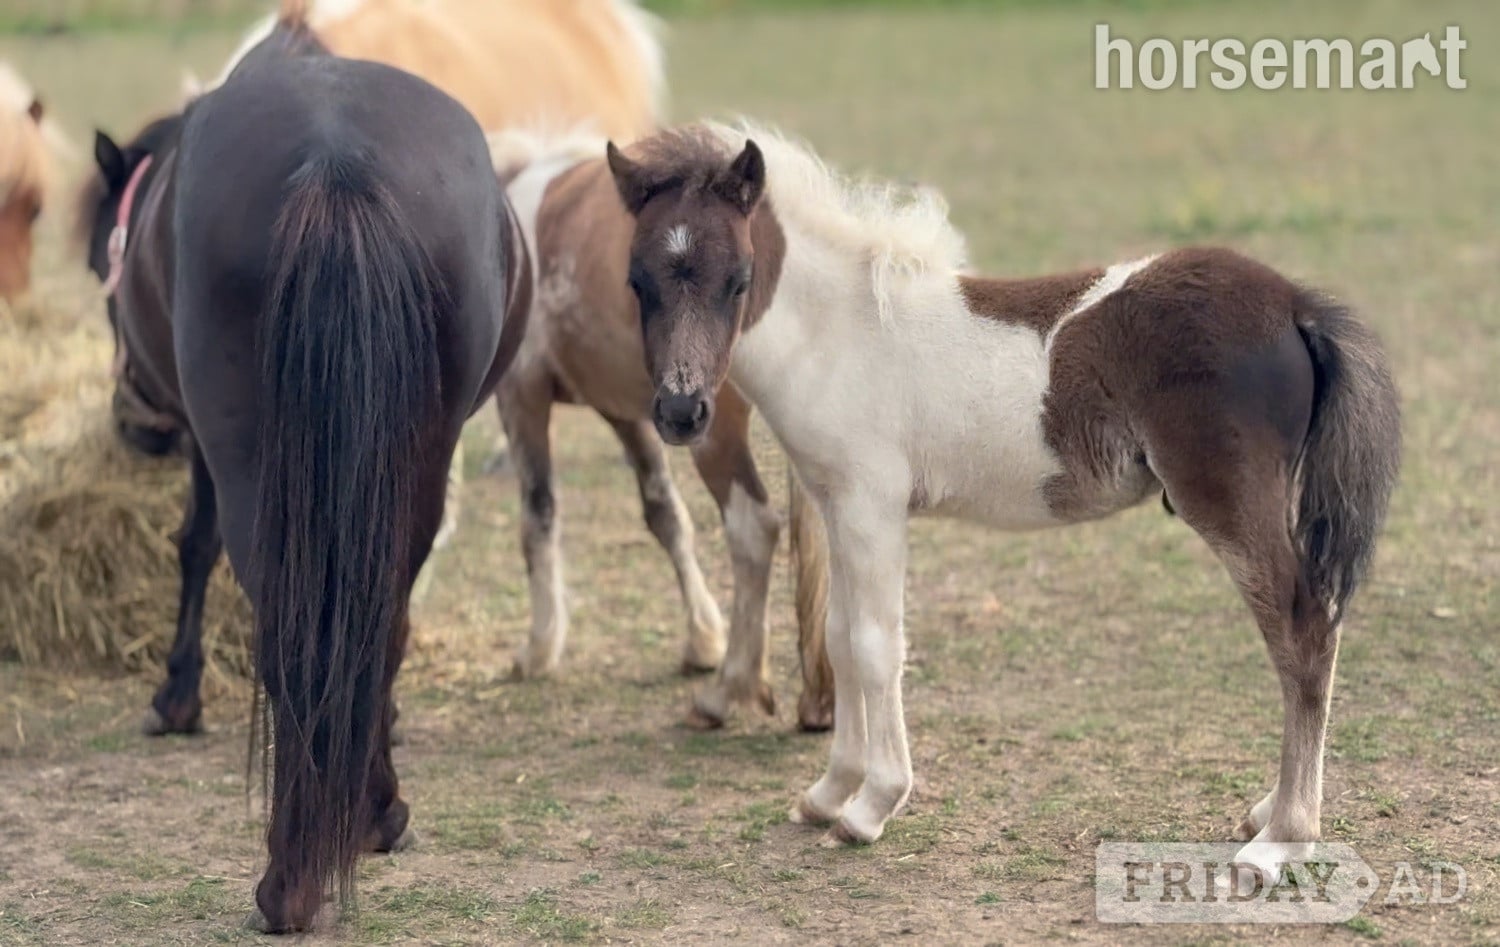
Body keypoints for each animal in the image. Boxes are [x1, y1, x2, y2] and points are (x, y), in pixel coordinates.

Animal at [78, 5, 529, 930]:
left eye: (102, 267)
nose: (136, 427)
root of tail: (336, 160)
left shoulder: (207, 451)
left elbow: (192, 546)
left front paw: (175, 698)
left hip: (256, 465)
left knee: (290, 632)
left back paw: (289, 882)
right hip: (414, 467)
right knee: (377, 622)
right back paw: (373, 814)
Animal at [474, 129, 830, 730]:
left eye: (738, 283)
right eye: (634, 282)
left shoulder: (522, 395)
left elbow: (538, 514)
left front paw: (539, 648)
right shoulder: (633, 413)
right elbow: (665, 515)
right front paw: (702, 639)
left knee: (752, 528)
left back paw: (728, 692)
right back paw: (820, 700)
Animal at [600, 121, 1401, 876]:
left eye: (737, 279)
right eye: (637, 282)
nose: (681, 413)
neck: (840, 333)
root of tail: (1294, 304)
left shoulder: (871, 505)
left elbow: (876, 646)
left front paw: (871, 805)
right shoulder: (835, 503)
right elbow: (839, 637)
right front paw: (828, 792)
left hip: (1232, 505)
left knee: (1303, 635)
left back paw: (1283, 837)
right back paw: (1268, 811)